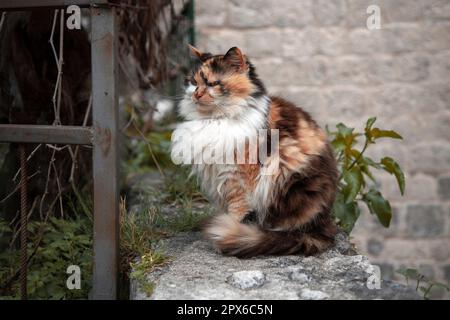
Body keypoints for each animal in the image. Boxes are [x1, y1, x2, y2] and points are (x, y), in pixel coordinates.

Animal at [172, 45, 338, 258]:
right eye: (193, 82)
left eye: (213, 83)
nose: (196, 95)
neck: (214, 120)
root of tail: (322, 224)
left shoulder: (237, 179)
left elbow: (238, 212)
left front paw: (225, 233)